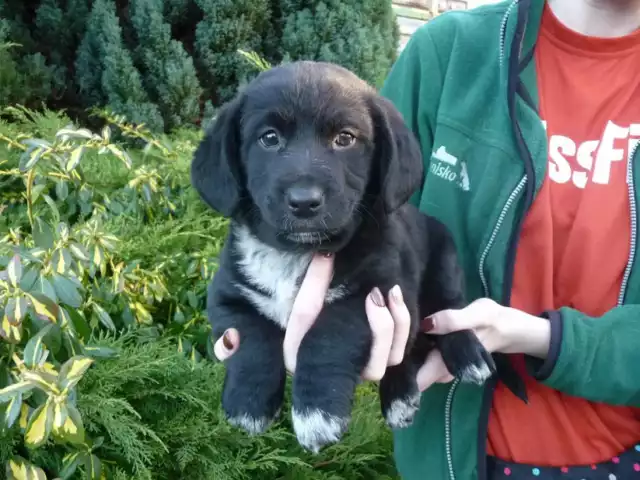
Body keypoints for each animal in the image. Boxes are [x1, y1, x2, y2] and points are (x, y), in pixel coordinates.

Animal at [190, 61, 496, 454]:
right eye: (269, 138)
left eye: (345, 138)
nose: (304, 201)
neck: (297, 252)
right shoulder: (229, 296)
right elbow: (252, 338)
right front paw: (249, 403)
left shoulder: (373, 294)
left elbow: (326, 336)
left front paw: (317, 414)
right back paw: (400, 398)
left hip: (443, 262)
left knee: (450, 314)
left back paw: (467, 356)